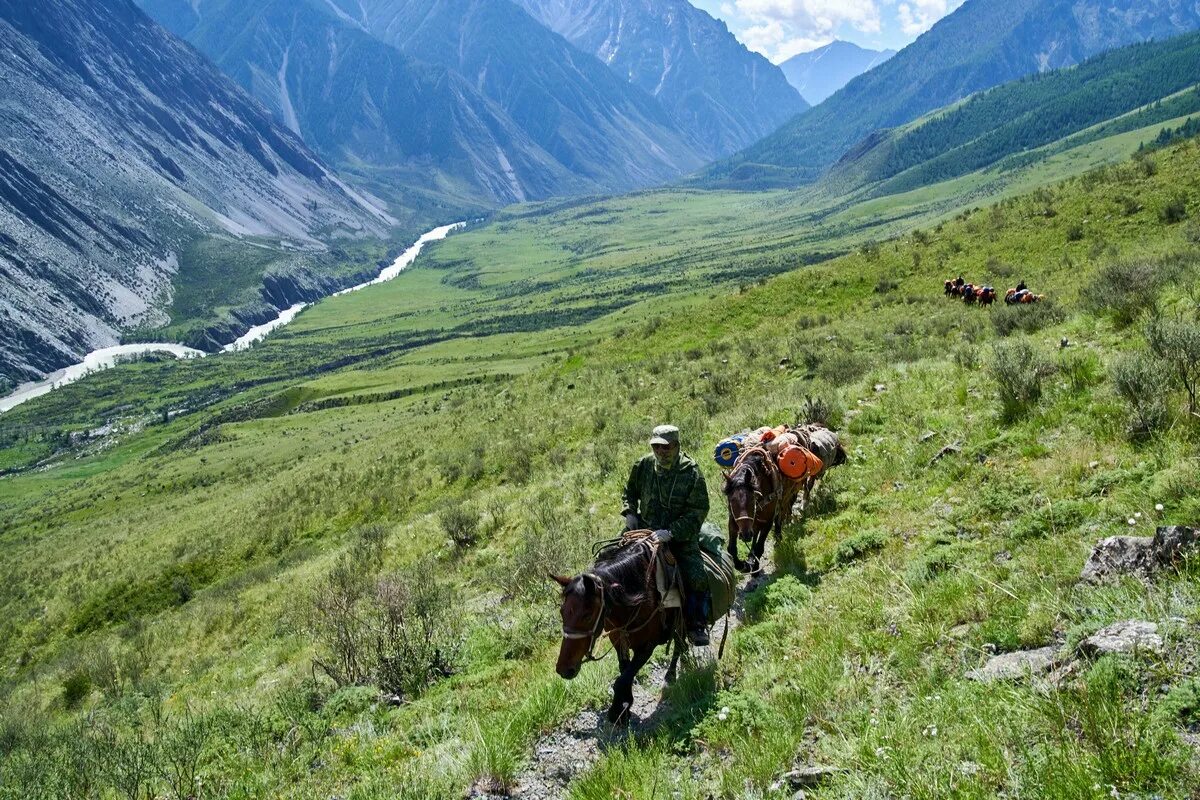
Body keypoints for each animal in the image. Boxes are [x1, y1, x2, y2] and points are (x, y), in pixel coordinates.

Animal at [552, 537, 686, 724]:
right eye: (562, 612)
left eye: (587, 615)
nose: (564, 670)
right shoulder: (618, 639)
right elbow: (625, 671)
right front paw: (625, 706)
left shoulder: (647, 646)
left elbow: (622, 679)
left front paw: (617, 711)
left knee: (679, 644)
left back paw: (671, 675)